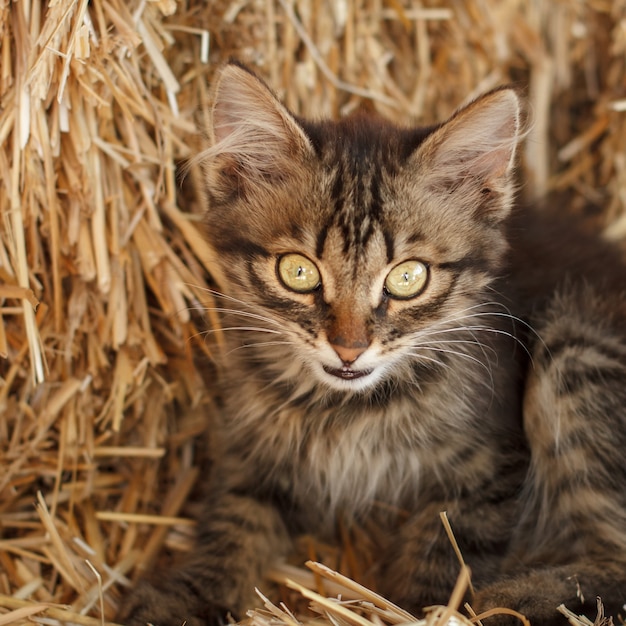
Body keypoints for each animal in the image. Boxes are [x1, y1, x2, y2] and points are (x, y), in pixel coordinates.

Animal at [119, 62, 624, 624]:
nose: (348, 348)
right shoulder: (253, 447)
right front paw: (187, 596)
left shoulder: (492, 466)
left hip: (575, 348)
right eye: (297, 272)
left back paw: (517, 597)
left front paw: (424, 609)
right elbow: (232, 524)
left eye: (407, 277)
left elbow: (445, 549)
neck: (348, 410)